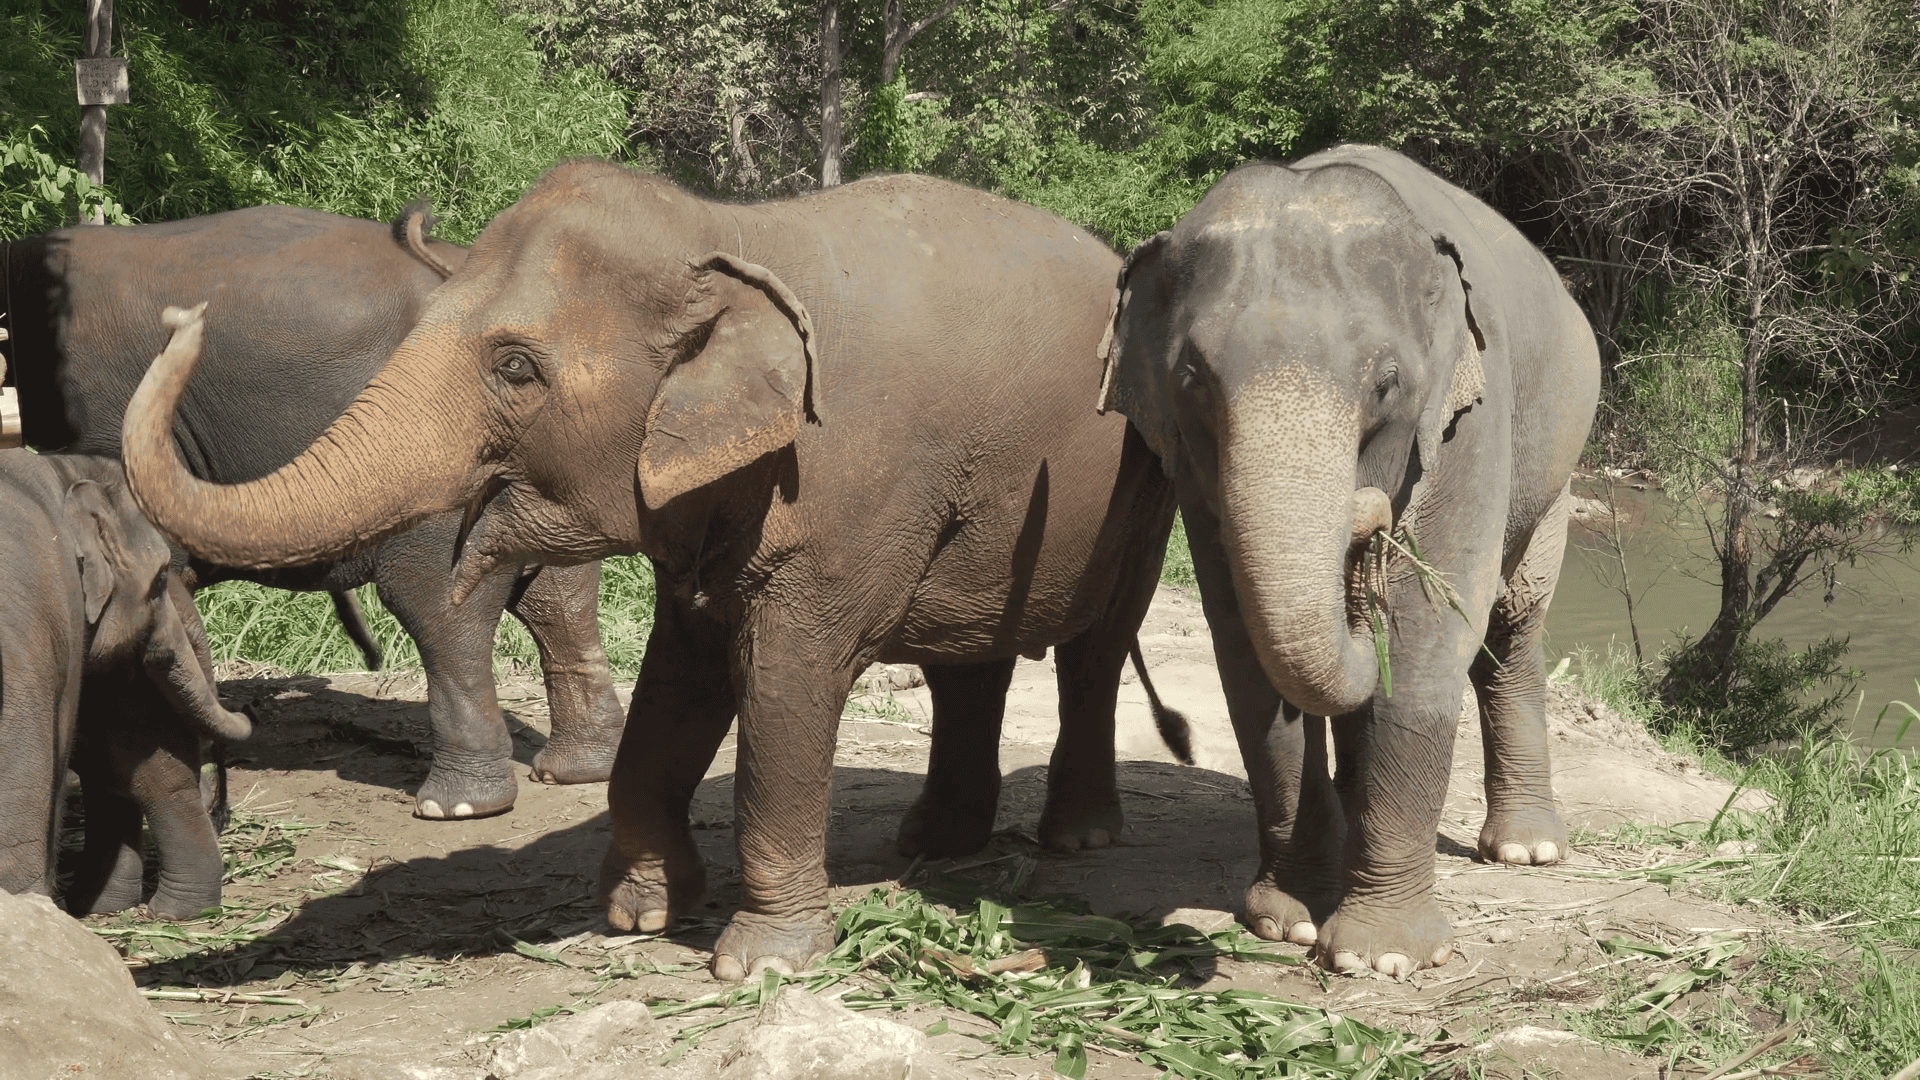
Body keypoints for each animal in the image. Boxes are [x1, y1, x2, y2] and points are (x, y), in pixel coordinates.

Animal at [118, 163, 1183, 980]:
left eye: (517, 369)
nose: (182, 317)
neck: (728, 231)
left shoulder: (846, 486)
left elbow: (785, 683)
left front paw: (759, 963)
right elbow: (681, 675)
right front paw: (640, 912)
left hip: (1149, 484)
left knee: (1095, 650)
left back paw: (1076, 839)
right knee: (971, 660)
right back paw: (933, 845)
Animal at [1093, 144, 1601, 976]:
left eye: (1386, 383)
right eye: (1193, 381)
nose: (1366, 520)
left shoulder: (1469, 424)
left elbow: (1428, 640)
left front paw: (1380, 956)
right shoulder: (1198, 480)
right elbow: (1245, 651)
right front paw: (1287, 921)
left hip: (1557, 477)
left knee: (1513, 628)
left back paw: (1527, 851)